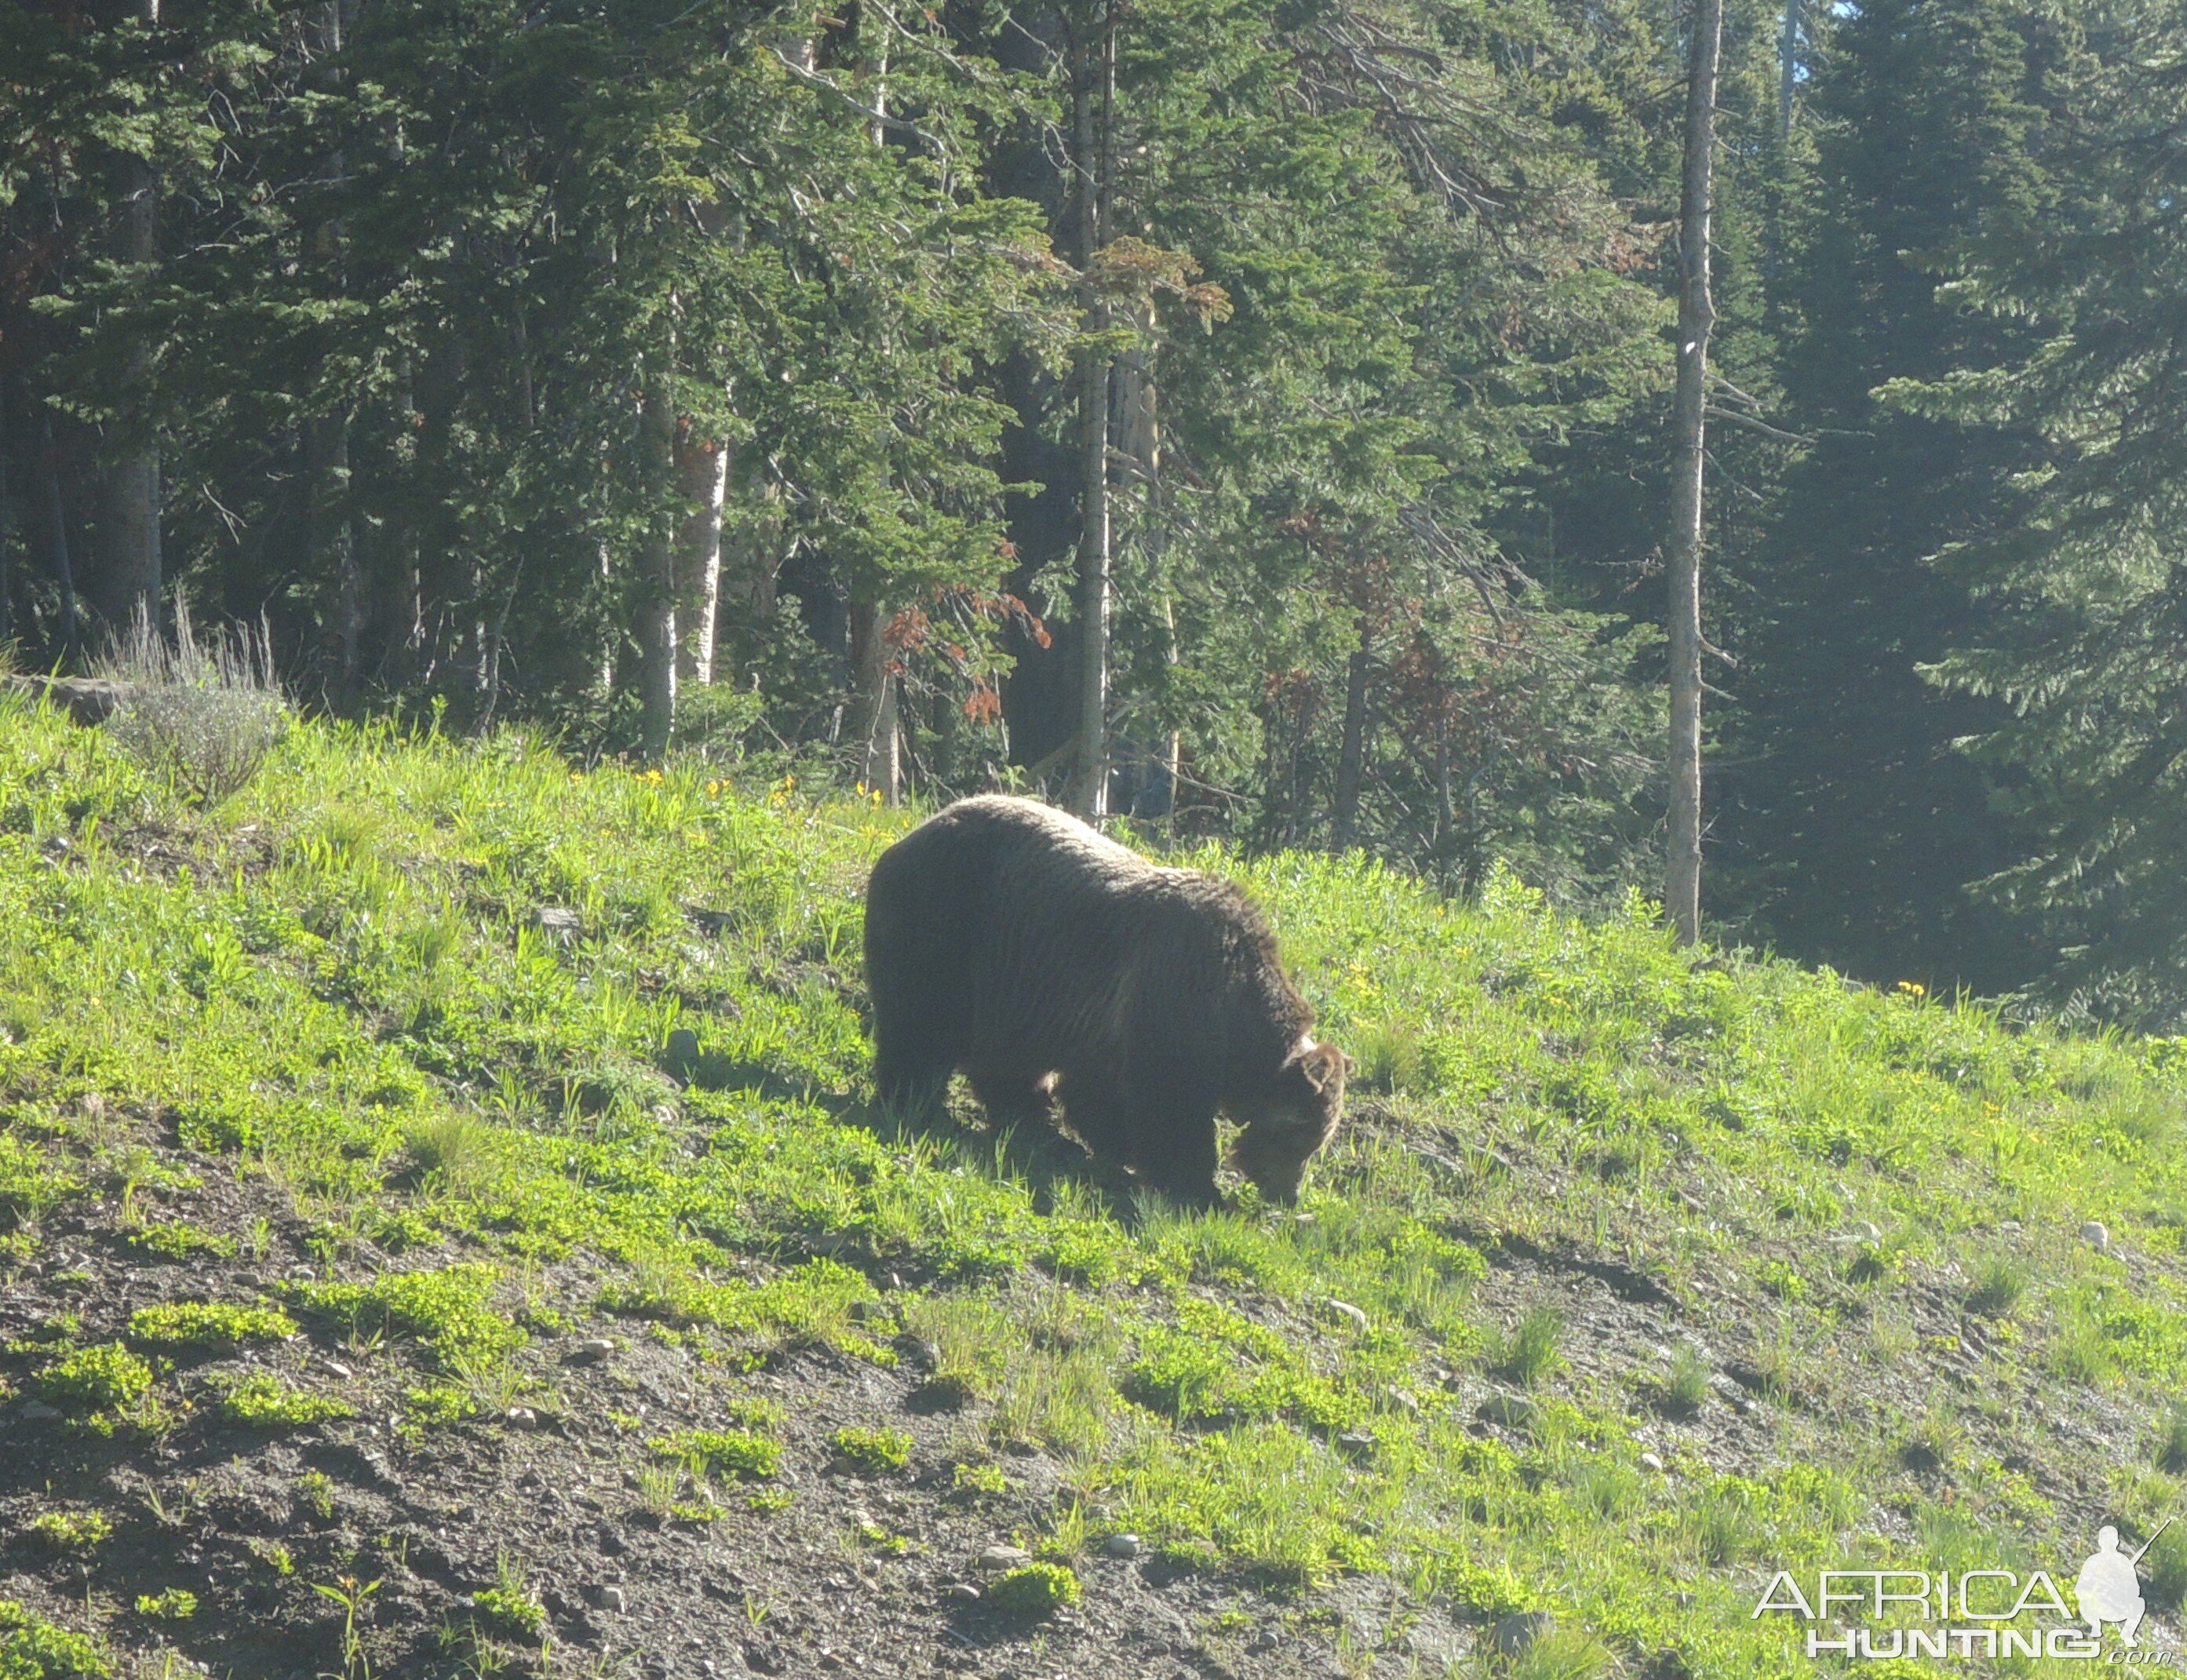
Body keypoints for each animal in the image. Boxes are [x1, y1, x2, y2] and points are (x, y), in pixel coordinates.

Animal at [857, 796, 1338, 1207]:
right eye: (1304, 1139)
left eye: (1318, 1141)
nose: (1291, 1194)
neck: (1235, 1019)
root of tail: (906, 837)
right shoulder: (1170, 996)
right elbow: (1168, 1111)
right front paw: (1198, 1189)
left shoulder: (1103, 1023)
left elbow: (1098, 1091)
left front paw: (1115, 1145)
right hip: (949, 924)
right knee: (922, 1022)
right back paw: (912, 1098)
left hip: (1013, 983)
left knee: (1006, 1059)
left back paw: (1032, 1119)